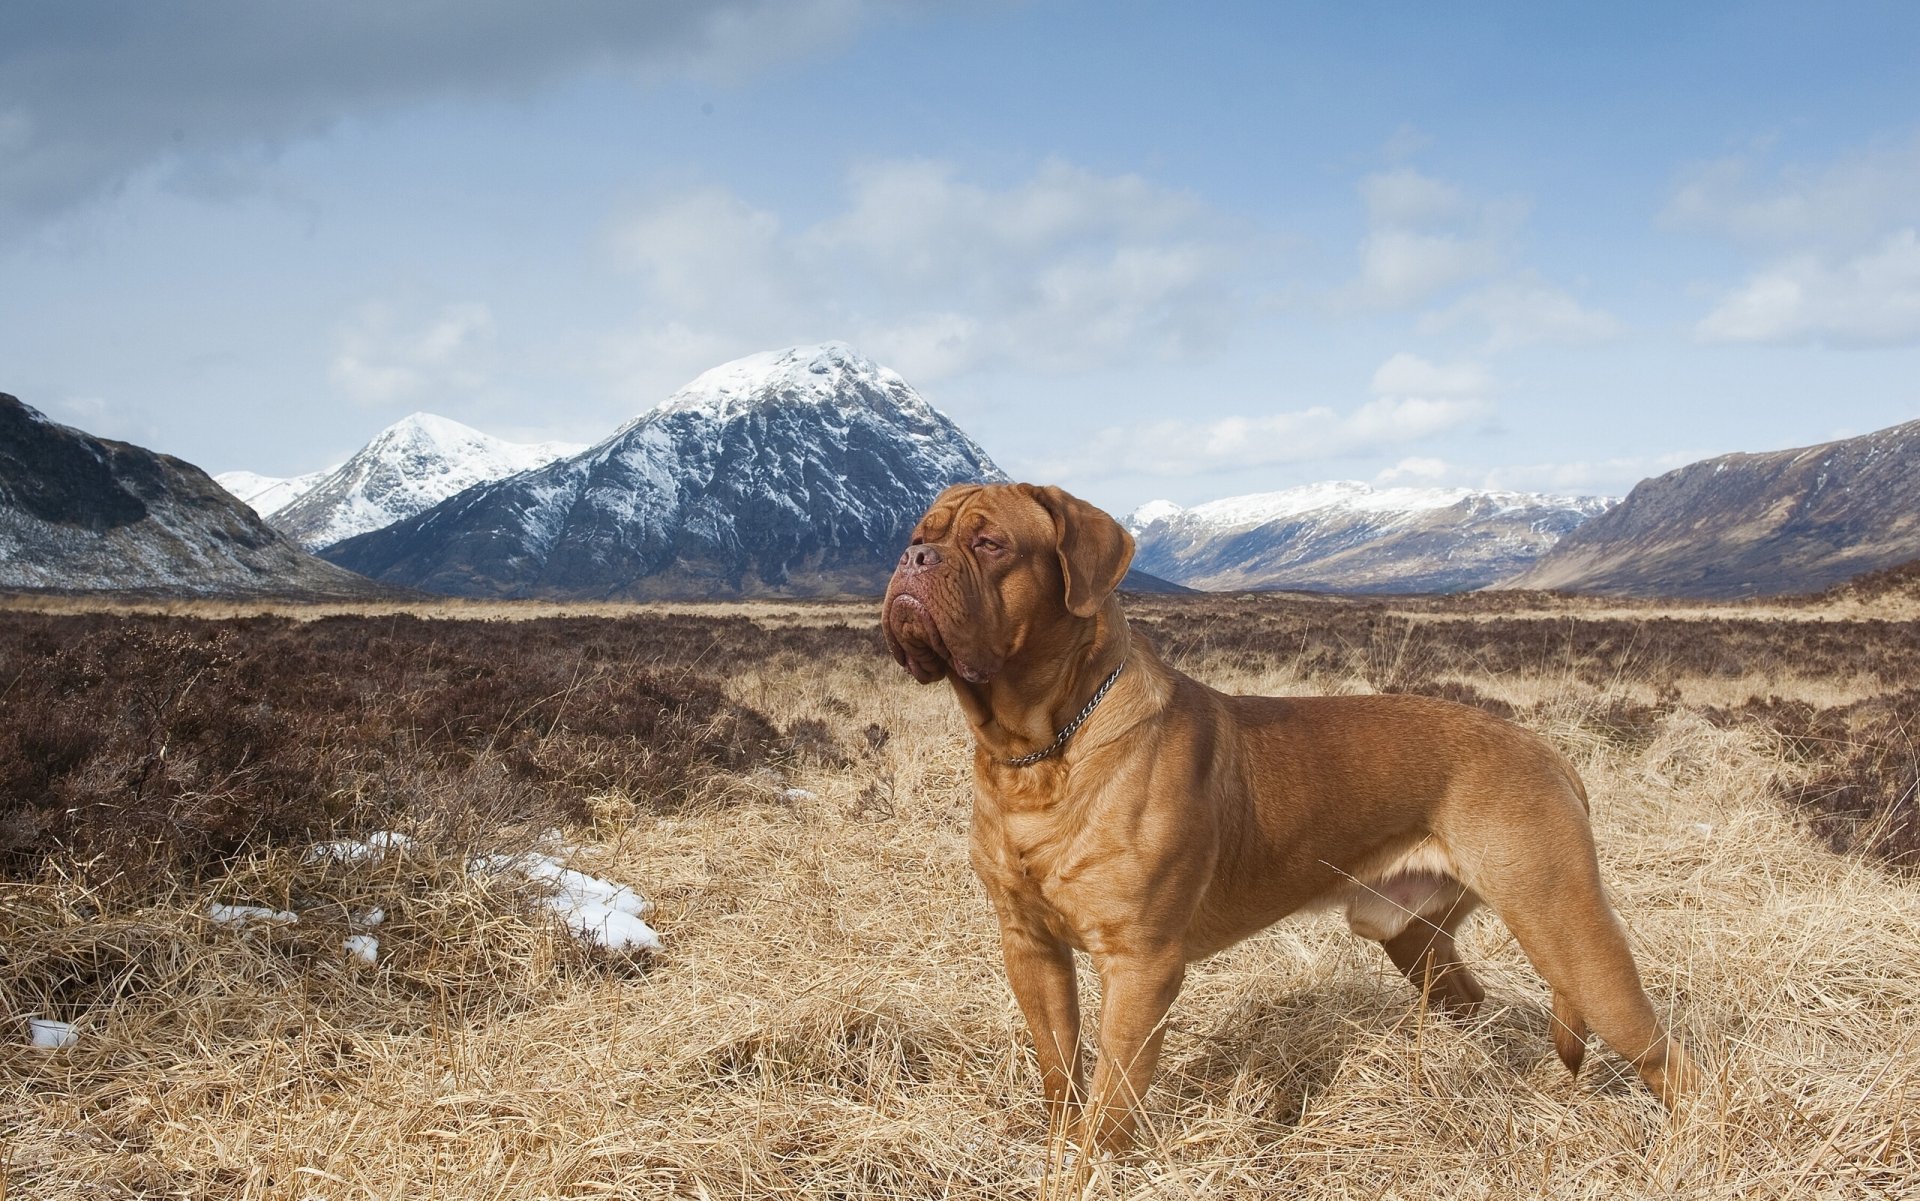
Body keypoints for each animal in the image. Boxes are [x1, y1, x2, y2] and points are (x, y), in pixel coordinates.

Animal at [879, 479, 1697, 1151]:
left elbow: (1112, 1100)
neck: (1040, 753)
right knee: (1469, 998)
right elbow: (1061, 1072)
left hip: (1567, 927)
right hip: (1412, 935)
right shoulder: (1030, 947)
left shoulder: (1140, 963)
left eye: (990, 543)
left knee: (1667, 1057)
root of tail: (1548, 750)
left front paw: (1093, 1166)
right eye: (921, 532)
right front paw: (1056, 1148)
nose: (913, 558)